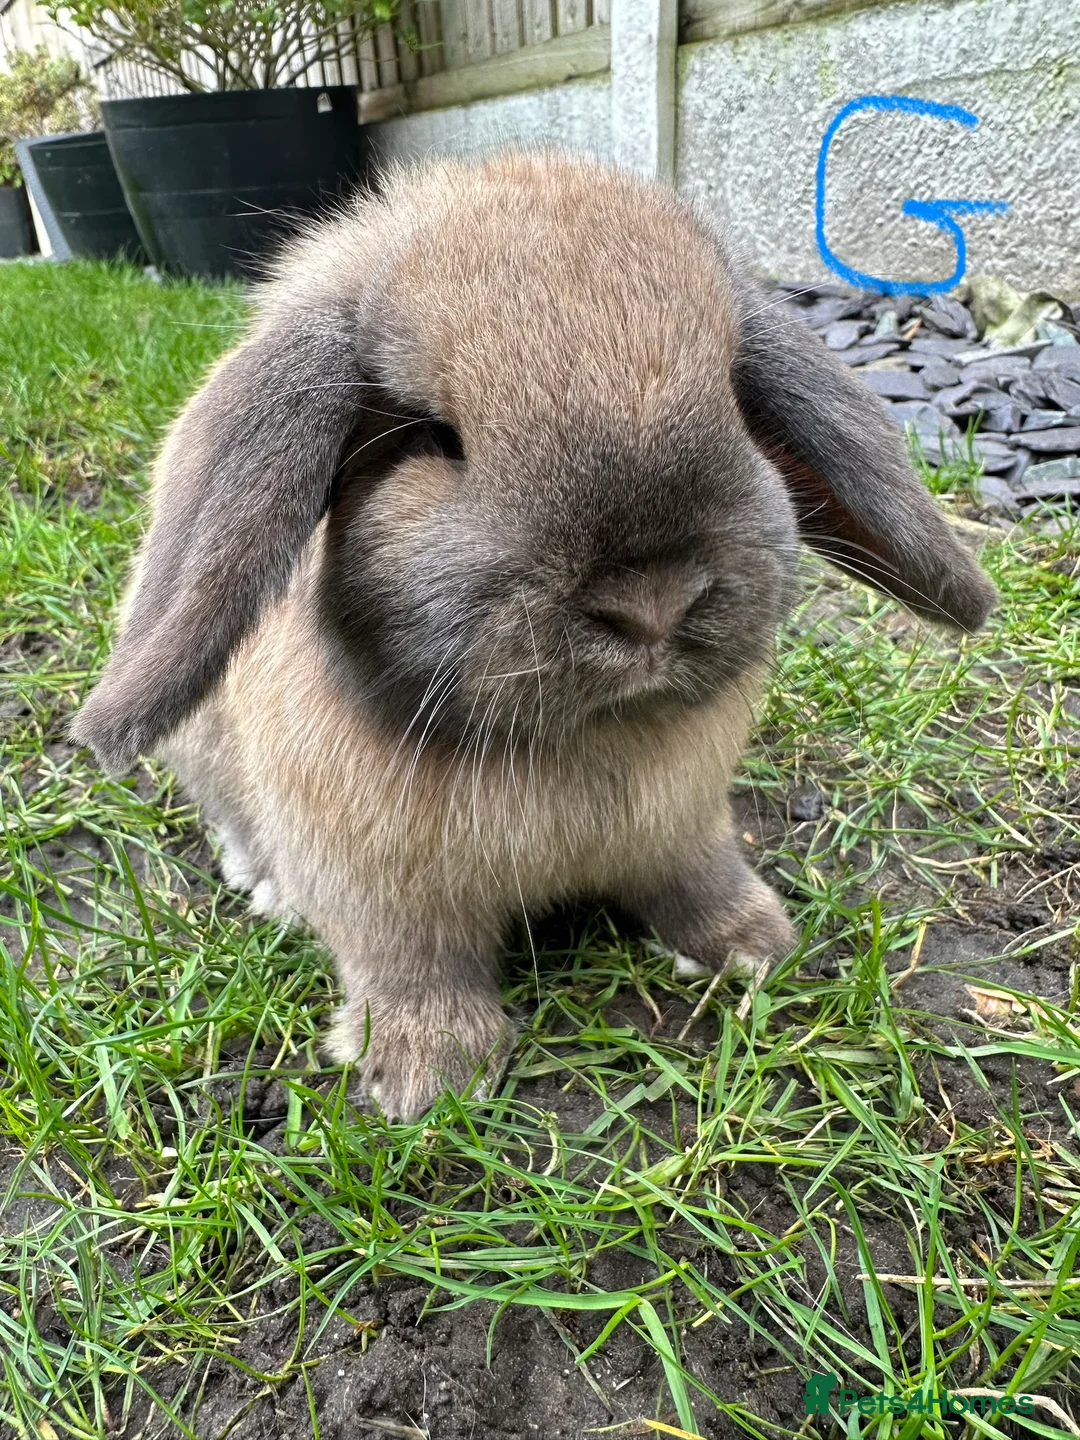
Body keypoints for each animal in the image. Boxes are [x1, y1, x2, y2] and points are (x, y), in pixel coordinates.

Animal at [71, 152, 996, 1120]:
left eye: (735, 400)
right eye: (433, 437)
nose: (651, 604)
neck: (578, 743)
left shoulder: (687, 828)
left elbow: (700, 878)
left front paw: (755, 947)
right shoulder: (378, 897)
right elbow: (413, 965)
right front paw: (429, 1076)